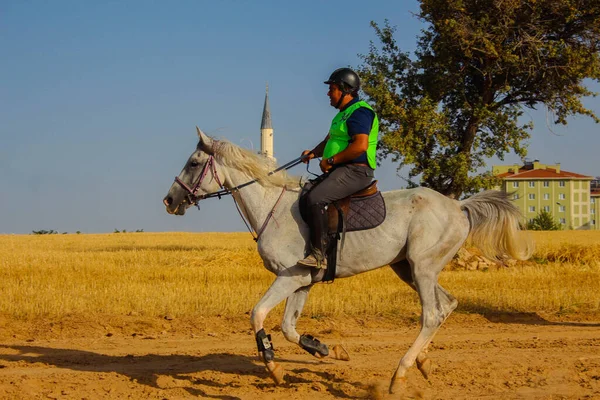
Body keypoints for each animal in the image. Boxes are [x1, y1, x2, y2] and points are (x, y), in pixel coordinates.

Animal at [162, 128, 532, 394]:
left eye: (193, 163)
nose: (169, 200)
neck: (272, 207)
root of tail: (459, 206)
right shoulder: (302, 282)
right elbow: (289, 327)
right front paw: (326, 349)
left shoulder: (289, 278)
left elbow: (258, 314)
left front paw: (273, 365)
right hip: (408, 268)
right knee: (447, 305)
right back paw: (423, 363)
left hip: (423, 267)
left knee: (431, 314)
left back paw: (399, 375)